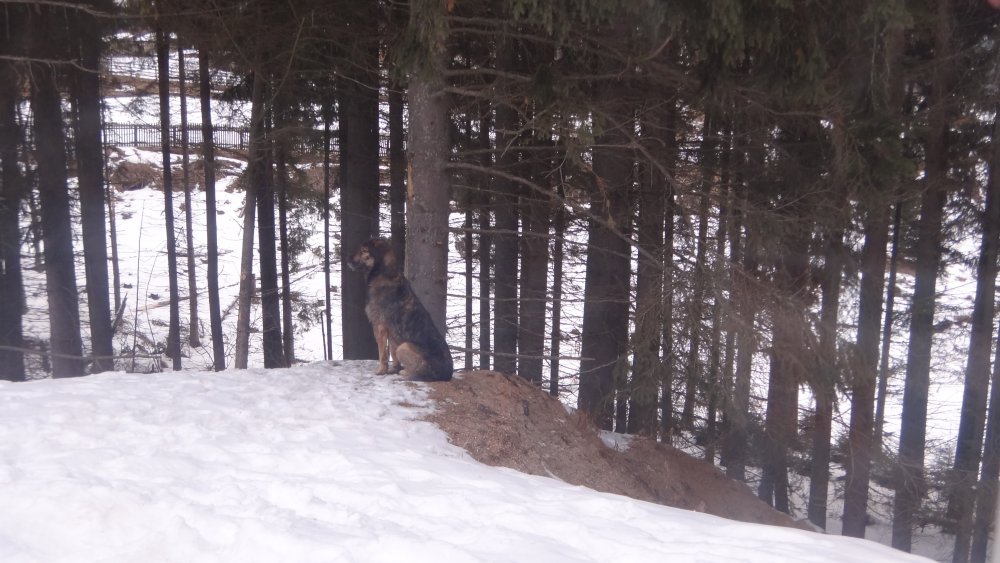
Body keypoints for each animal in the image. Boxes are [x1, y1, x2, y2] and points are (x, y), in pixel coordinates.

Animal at [348, 238, 453, 382]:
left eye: (364, 250)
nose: (347, 259)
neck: (383, 274)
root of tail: (447, 374)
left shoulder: (379, 326)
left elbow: (383, 354)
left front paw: (381, 371)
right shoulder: (391, 331)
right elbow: (392, 352)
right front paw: (393, 369)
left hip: (405, 346)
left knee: (420, 373)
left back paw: (405, 373)